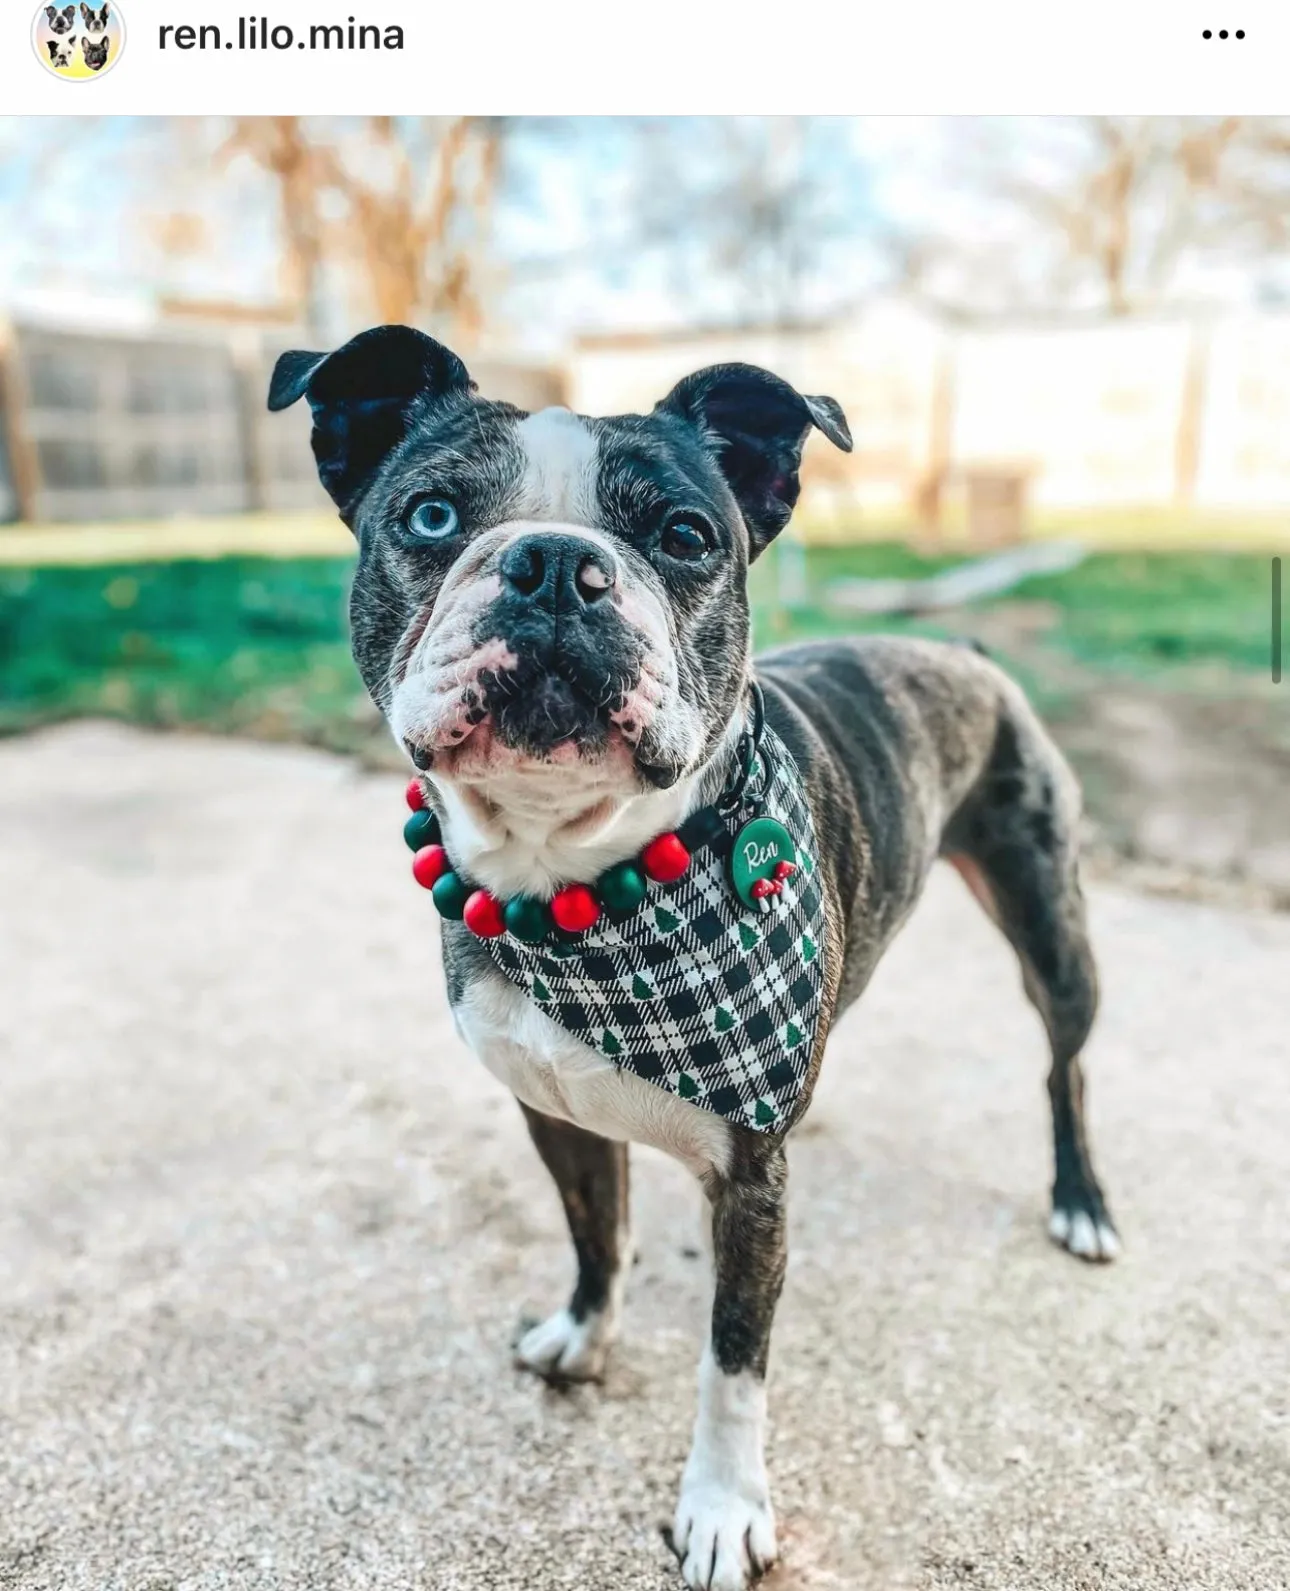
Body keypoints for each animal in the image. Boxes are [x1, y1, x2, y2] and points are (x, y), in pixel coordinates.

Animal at [267, 326, 1113, 1591]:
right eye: (430, 514)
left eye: (683, 534)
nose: (556, 564)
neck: (572, 886)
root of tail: (963, 652)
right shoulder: (553, 1109)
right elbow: (596, 1234)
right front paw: (582, 1336)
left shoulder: (752, 1186)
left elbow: (734, 1357)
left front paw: (720, 1509)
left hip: (1053, 930)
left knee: (1065, 1067)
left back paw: (1081, 1200)